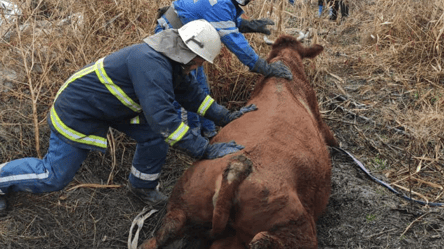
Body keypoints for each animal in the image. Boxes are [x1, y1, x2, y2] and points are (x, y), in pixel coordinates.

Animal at [140, 35, 338, 249]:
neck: (284, 68)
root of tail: (233, 174)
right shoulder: (320, 119)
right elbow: (333, 139)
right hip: (297, 229)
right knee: (263, 241)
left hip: (180, 207)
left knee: (158, 237)